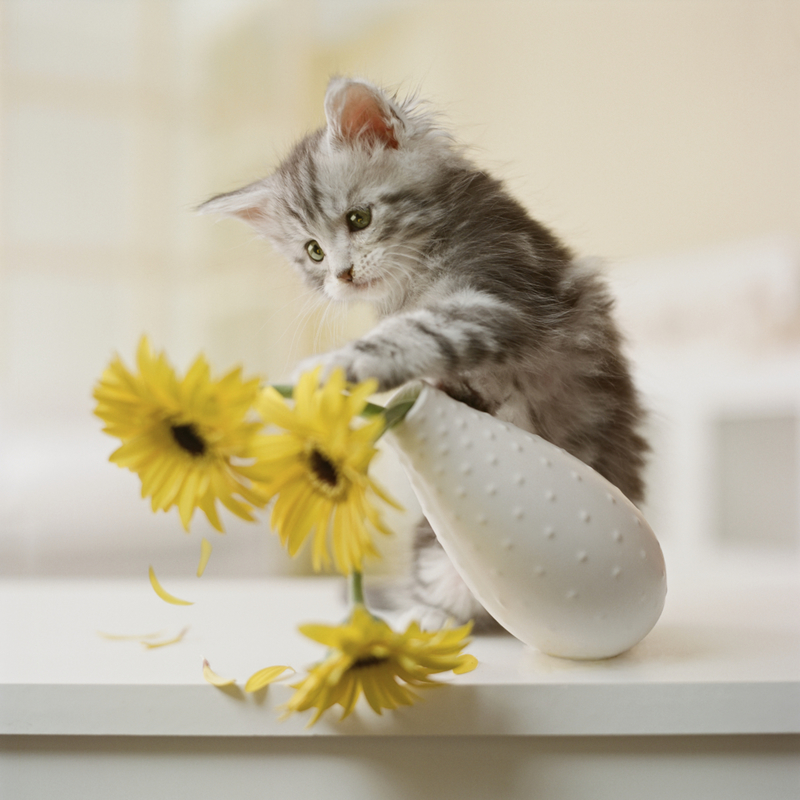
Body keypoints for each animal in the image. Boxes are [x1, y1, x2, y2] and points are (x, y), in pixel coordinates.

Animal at [202, 76, 648, 632]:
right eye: (313, 252)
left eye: (358, 218)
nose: (342, 275)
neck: (418, 268)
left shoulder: (500, 300)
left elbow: (415, 333)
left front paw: (332, 368)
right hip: (437, 545)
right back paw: (426, 618)